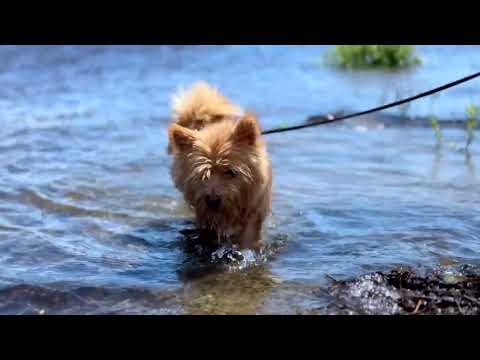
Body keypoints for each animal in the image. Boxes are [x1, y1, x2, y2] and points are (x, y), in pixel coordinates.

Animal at [168, 82, 272, 249]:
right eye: (202, 175)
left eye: (231, 172)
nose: (212, 200)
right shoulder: (204, 216)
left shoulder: (254, 210)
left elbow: (248, 236)